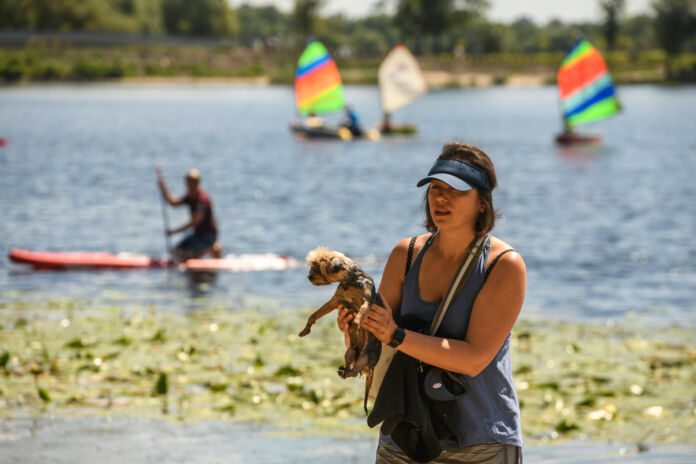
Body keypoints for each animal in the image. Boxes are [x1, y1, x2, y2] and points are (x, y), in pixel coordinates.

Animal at [300, 248, 380, 412]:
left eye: (318, 268)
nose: (309, 277)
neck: (350, 281)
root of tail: (370, 369)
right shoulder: (335, 300)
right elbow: (314, 314)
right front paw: (305, 329)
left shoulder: (367, 302)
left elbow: (359, 315)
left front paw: (355, 325)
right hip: (350, 352)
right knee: (351, 366)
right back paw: (344, 370)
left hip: (365, 356)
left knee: (355, 372)